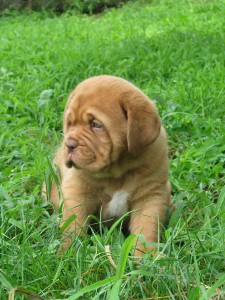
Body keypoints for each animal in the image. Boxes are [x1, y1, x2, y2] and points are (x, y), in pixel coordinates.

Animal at [44, 75, 174, 255]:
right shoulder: (77, 190)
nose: (69, 145)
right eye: (69, 124)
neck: (117, 172)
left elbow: (146, 228)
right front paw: (68, 252)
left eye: (96, 125)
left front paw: (146, 256)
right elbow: (73, 223)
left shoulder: (151, 196)